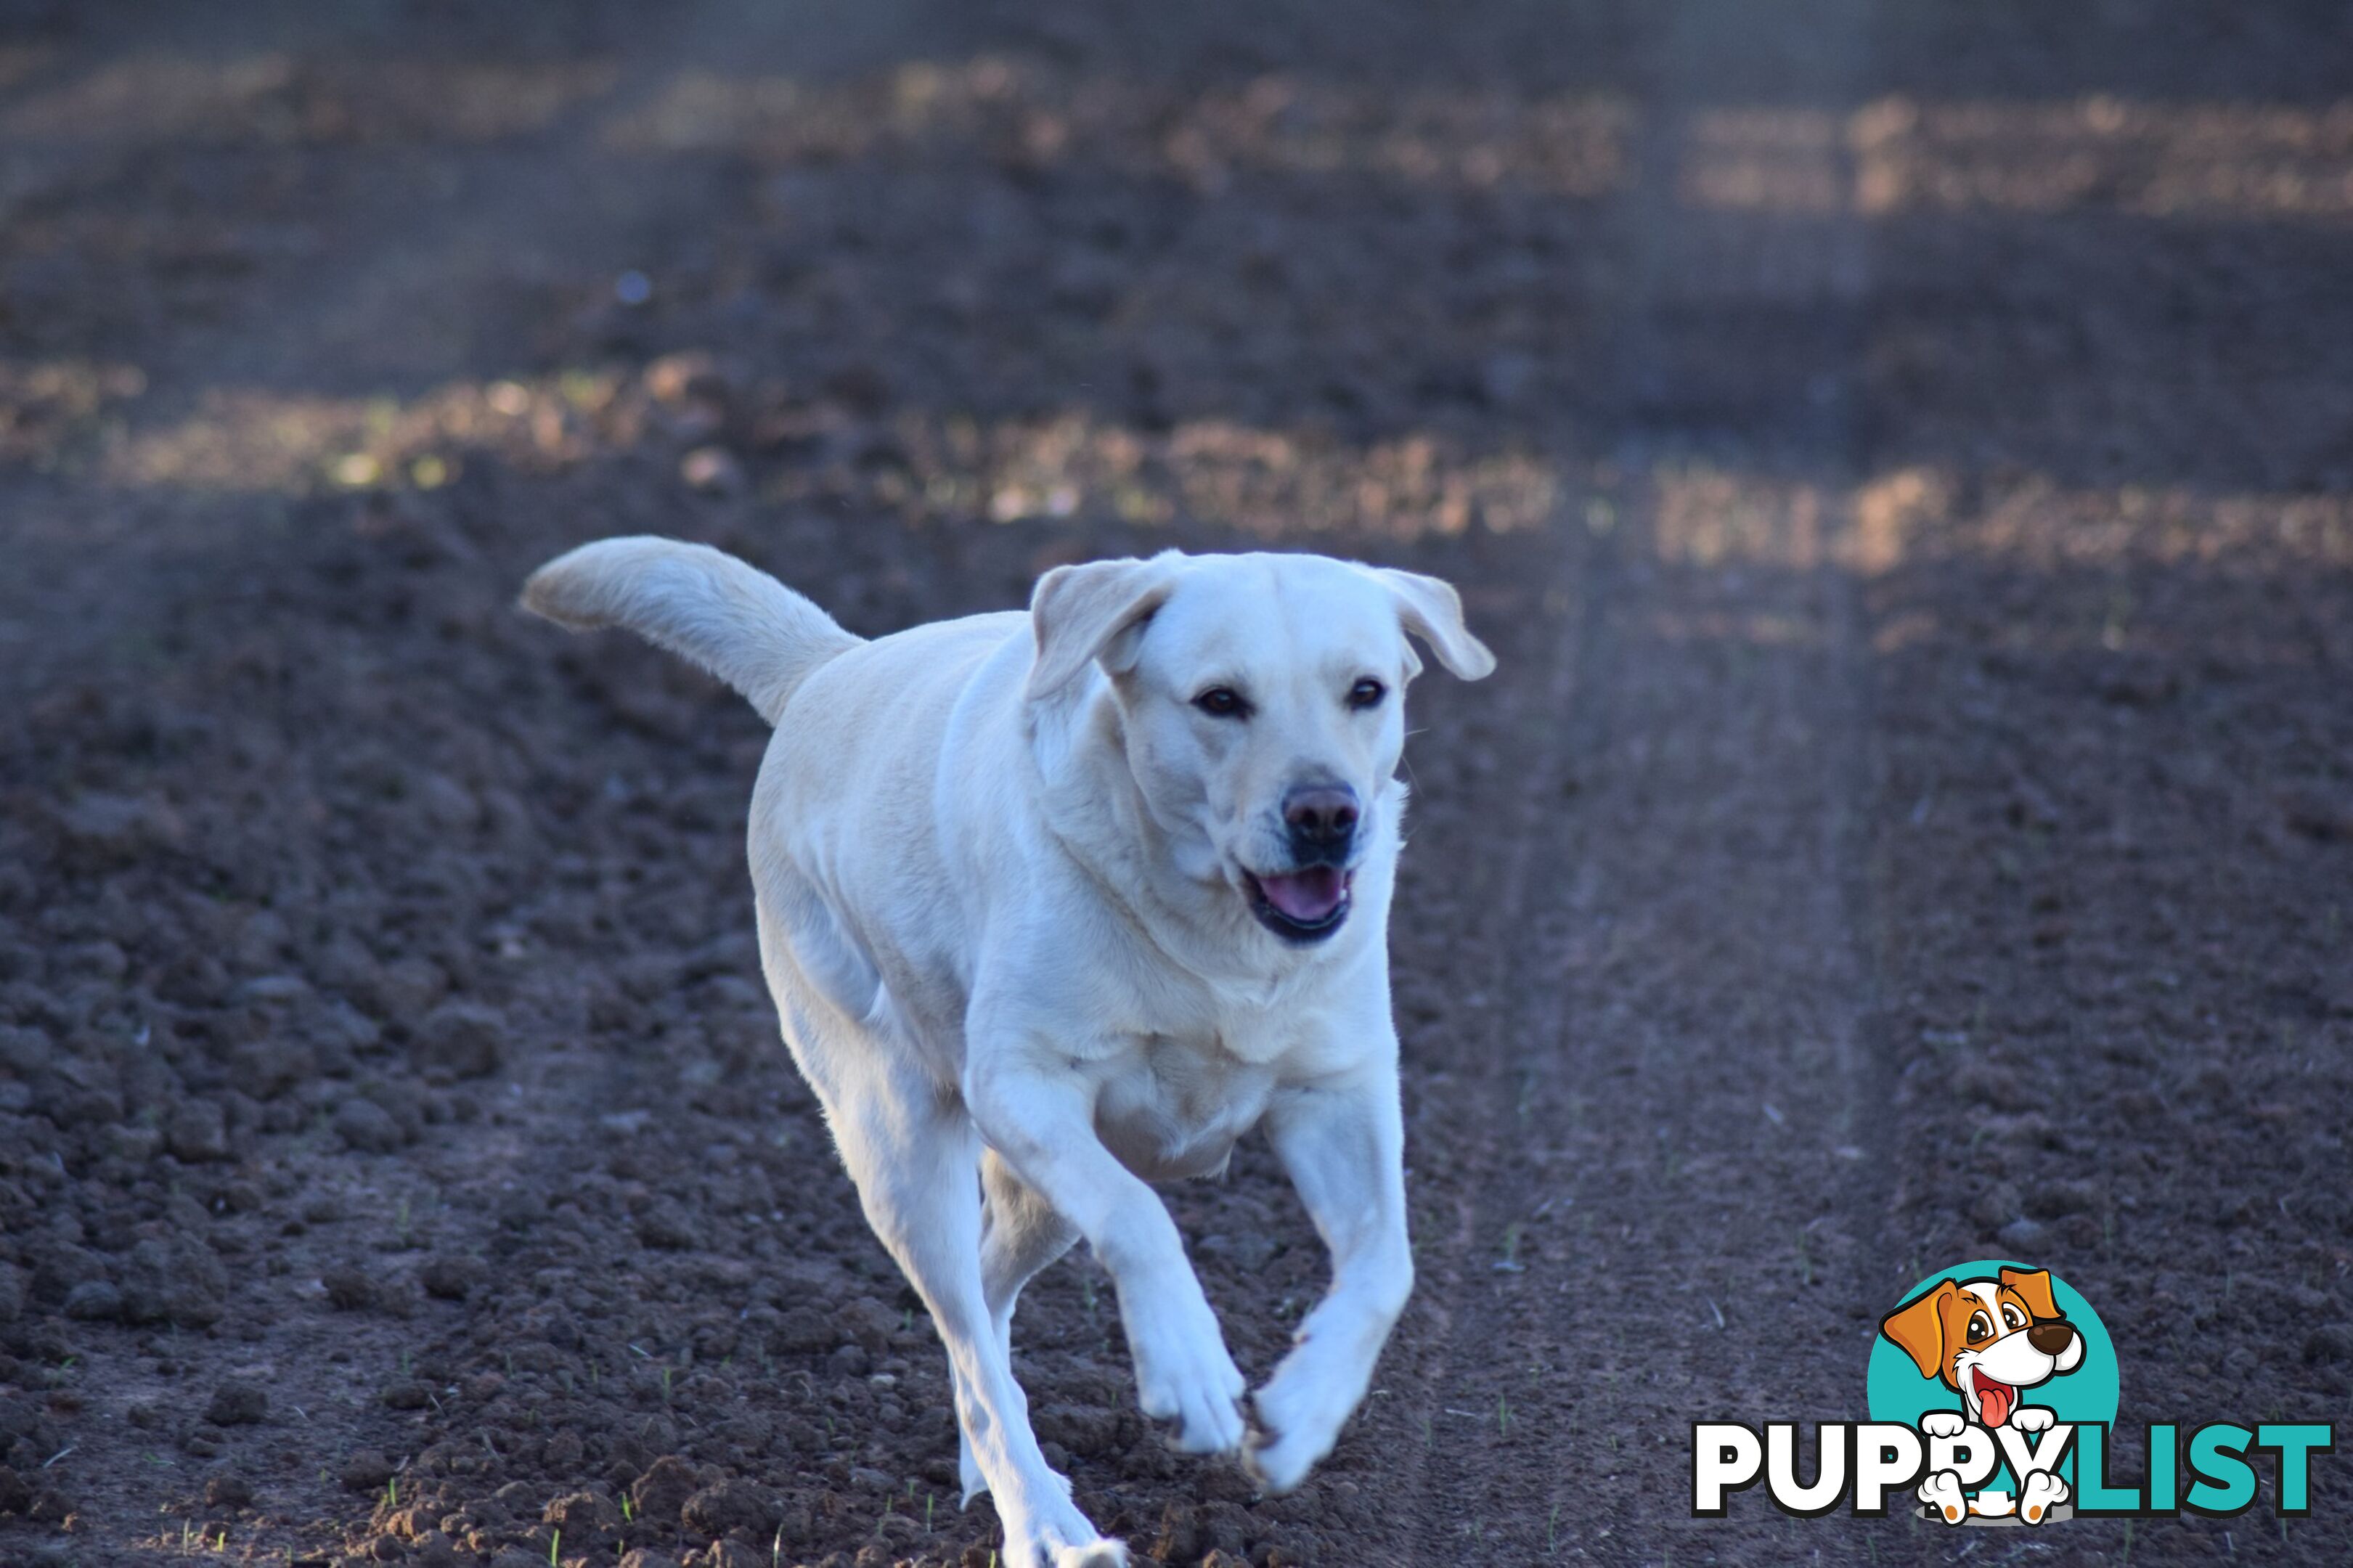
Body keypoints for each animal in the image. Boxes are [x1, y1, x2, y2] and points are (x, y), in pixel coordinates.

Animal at [526, 531, 1496, 1553]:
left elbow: (1388, 1265)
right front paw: (1191, 1373)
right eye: (1220, 700)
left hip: (1044, 1194)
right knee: (970, 1333)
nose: (1325, 815)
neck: (1217, 936)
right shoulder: (1021, 1084)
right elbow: (1141, 1219)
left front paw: (1301, 1416)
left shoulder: (1338, 1091)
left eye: (1366, 690)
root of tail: (827, 669)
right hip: (900, 1136)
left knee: (986, 1306)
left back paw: (988, 1472)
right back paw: (1047, 1526)